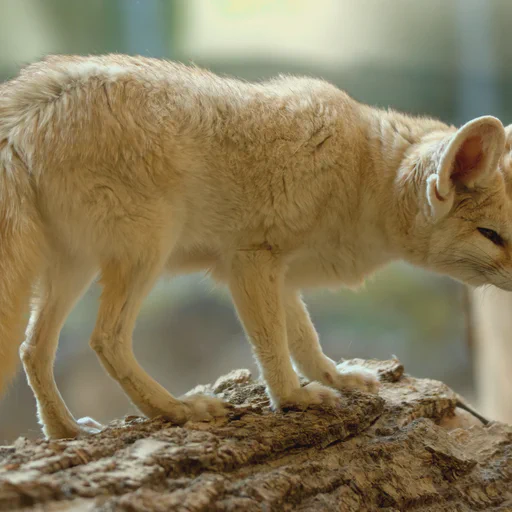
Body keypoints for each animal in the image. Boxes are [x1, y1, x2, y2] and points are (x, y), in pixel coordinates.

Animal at [1, 56, 512, 440]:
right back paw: (175, 409)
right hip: (145, 255)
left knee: (32, 349)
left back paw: (65, 430)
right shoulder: (249, 262)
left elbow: (304, 341)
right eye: (491, 235)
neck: (362, 174)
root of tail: (29, 105)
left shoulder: (280, 274)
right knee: (105, 339)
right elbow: (273, 348)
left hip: (76, 269)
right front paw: (293, 399)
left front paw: (336, 378)